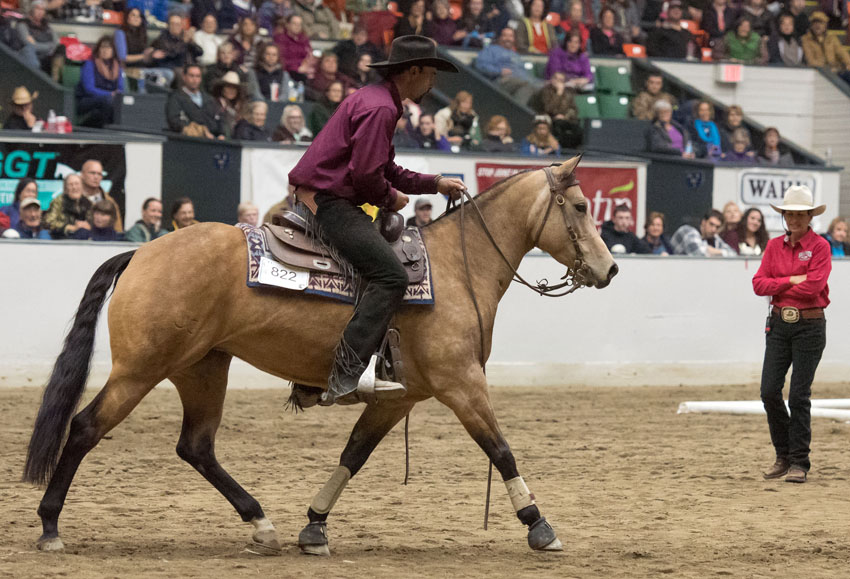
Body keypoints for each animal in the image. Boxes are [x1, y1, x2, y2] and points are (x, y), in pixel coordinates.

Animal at [21, 155, 616, 556]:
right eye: (581, 206)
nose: (609, 269)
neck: (456, 267)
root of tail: (141, 252)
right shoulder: (462, 384)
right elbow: (501, 449)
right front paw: (539, 525)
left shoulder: (400, 398)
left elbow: (353, 454)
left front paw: (313, 526)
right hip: (141, 369)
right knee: (85, 428)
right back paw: (50, 526)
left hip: (202, 367)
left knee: (196, 447)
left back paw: (261, 524)